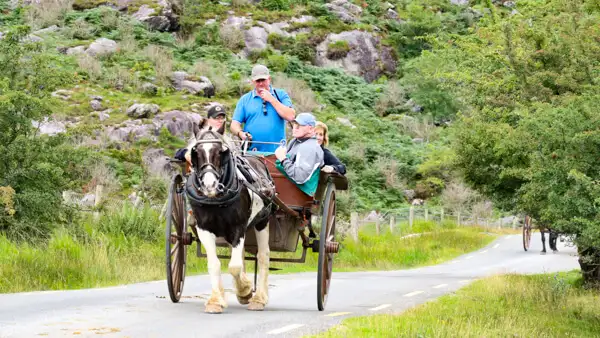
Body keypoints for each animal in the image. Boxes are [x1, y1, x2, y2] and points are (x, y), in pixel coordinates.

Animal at [186, 121, 276, 314]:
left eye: (220, 152)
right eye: (195, 153)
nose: (210, 185)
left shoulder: (238, 228)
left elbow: (234, 267)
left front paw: (245, 291)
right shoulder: (204, 229)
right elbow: (214, 264)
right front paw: (216, 301)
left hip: (262, 221)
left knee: (263, 256)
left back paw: (259, 298)